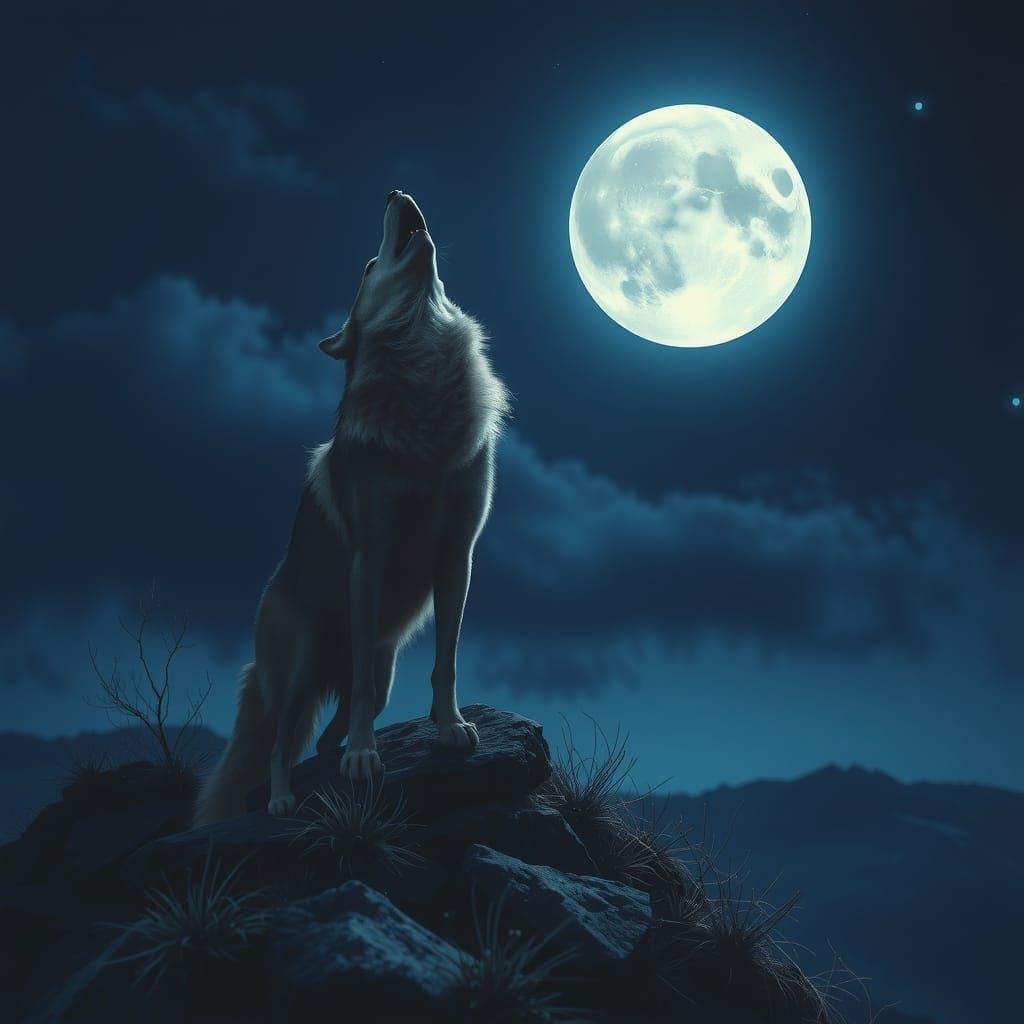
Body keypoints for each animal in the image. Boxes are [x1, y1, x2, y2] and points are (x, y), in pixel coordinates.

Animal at [192, 190, 511, 825]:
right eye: (367, 267)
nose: (395, 193)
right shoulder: (371, 556)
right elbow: (360, 684)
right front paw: (365, 757)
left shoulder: (457, 557)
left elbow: (447, 660)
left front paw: (451, 727)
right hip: (298, 668)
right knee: (283, 741)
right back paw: (283, 800)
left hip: (382, 672)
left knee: (320, 737)